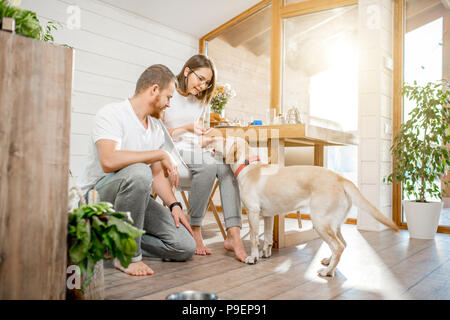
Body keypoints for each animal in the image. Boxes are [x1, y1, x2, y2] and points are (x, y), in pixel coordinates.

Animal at [212, 136, 400, 276]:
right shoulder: (268, 215)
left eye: (224, 139)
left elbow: (253, 238)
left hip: (320, 222)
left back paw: (327, 271)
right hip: (334, 223)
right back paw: (329, 262)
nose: (212, 139)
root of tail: (340, 178)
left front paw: (253, 258)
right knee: (343, 244)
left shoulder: (252, 212)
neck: (249, 166)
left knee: (338, 246)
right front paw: (266, 253)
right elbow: (267, 237)